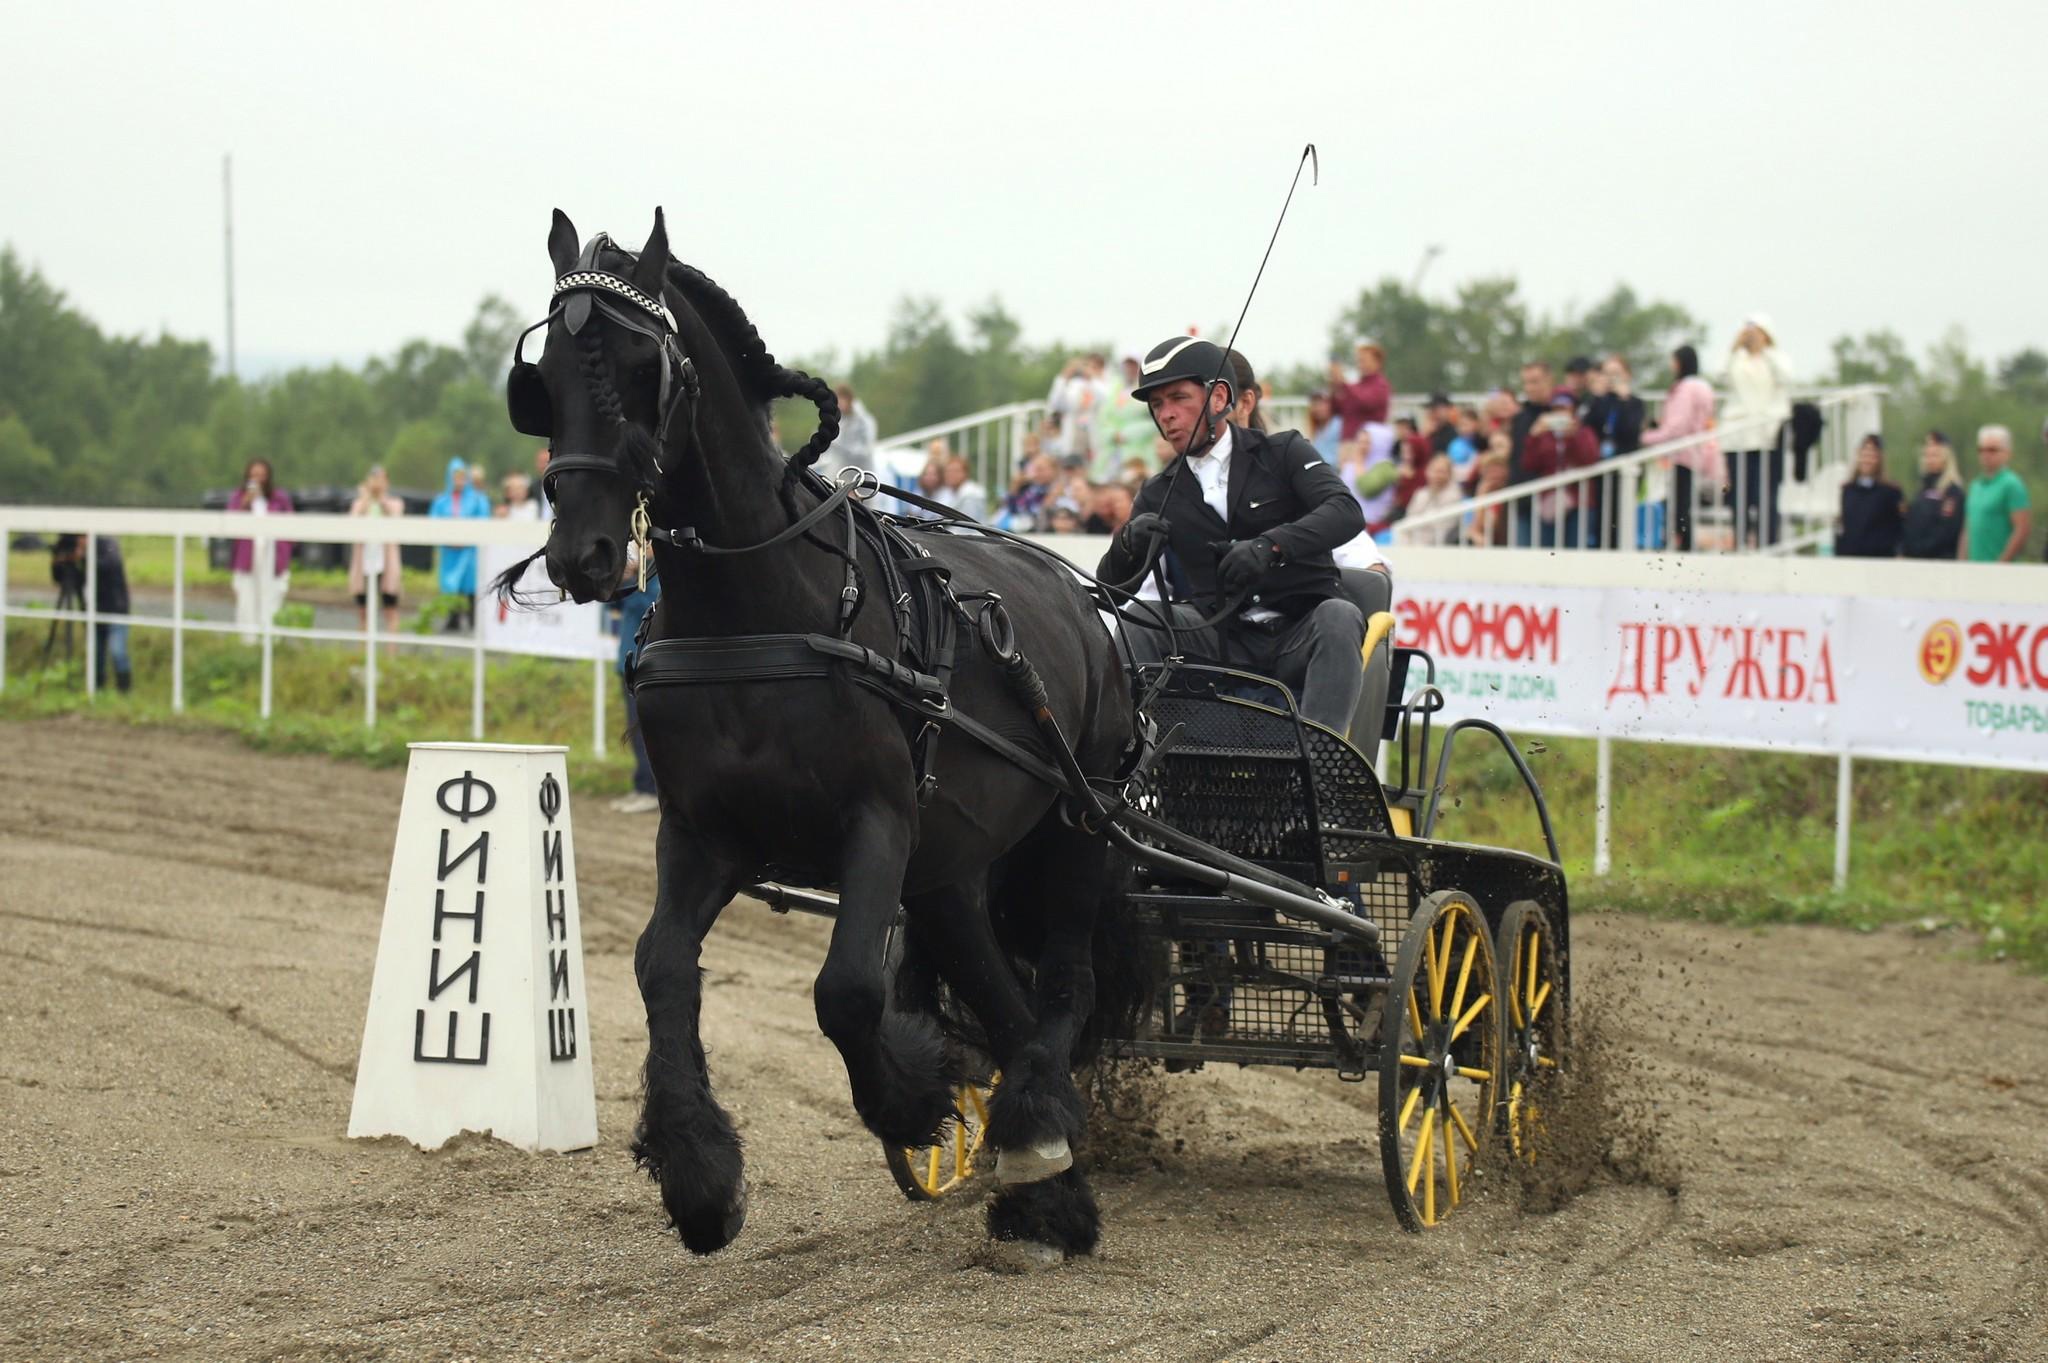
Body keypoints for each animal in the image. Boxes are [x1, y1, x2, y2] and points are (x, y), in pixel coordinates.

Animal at [512, 206, 1146, 1260]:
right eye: (542, 379)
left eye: (645, 368)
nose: (582, 552)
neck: (760, 609)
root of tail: (1080, 591)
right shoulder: (703, 834)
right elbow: (658, 966)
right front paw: (699, 1176)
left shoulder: (876, 820)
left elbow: (846, 987)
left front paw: (913, 1094)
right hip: (952, 869)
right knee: (1009, 1004)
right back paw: (1042, 1166)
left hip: (1078, 831)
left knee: (1065, 986)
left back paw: (1040, 1148)